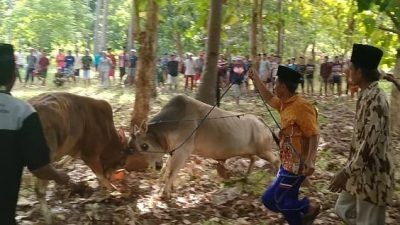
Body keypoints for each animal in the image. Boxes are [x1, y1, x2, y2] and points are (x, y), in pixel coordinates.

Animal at [126, 95, 280, 199]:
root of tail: (261, 122)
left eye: (144, 146)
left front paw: (165, 193)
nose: (155, 166)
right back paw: (245, 177)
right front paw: (164, 184)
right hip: (247, 151)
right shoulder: (174, 151)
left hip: (264, 150)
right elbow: (169, 167)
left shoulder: (183, 151)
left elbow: (172, 171)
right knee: (253, 158)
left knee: (277, 160)